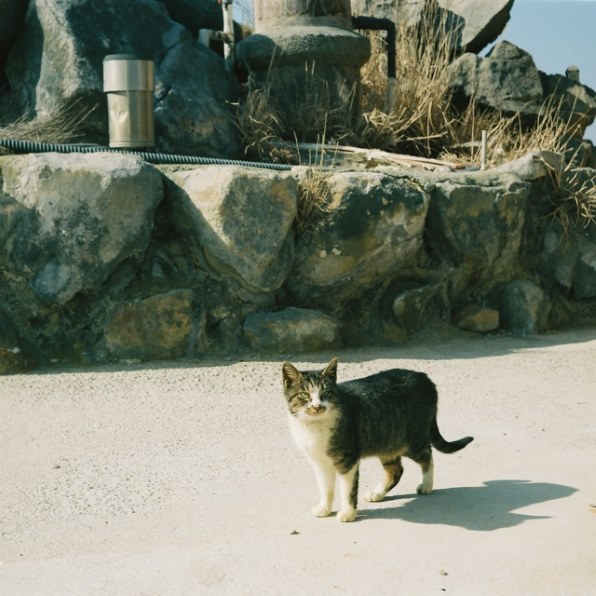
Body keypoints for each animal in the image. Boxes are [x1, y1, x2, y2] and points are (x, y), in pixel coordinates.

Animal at [282, 358, 472, 520]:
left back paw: (426, 485)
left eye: (326, 393)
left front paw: (348, 513)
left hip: (411, 440)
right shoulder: (320, 461)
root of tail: (424, 377)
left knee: (427, 456)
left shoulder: (347, 459)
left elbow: (347, 490)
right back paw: (378, 493)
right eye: (305, 395)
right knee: (396, 470)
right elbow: (325, 487)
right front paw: (324, 508)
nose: (317, 406)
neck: (314, 426)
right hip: (386, 442)